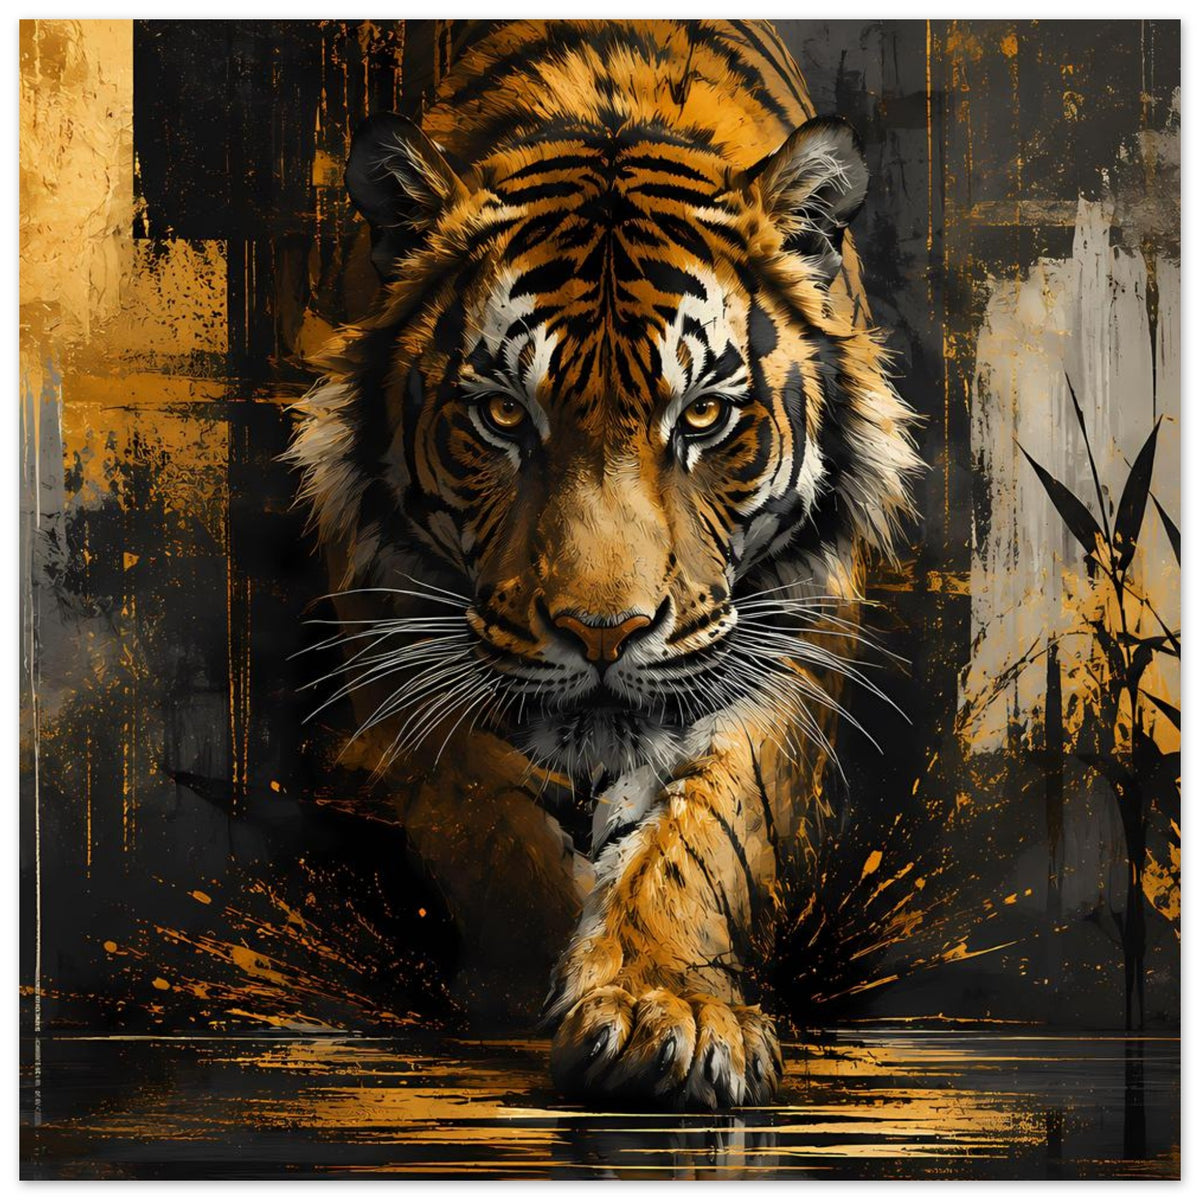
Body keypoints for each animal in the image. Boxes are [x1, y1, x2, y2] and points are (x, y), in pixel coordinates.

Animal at [288, 19, 920, 1110]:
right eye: (504, 415)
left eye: (703, 416)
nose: (601, 632)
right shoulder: (396, 626)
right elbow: (486, 824)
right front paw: (523, 987)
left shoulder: (787, 638)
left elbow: (705, 834)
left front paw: (664, 1013)